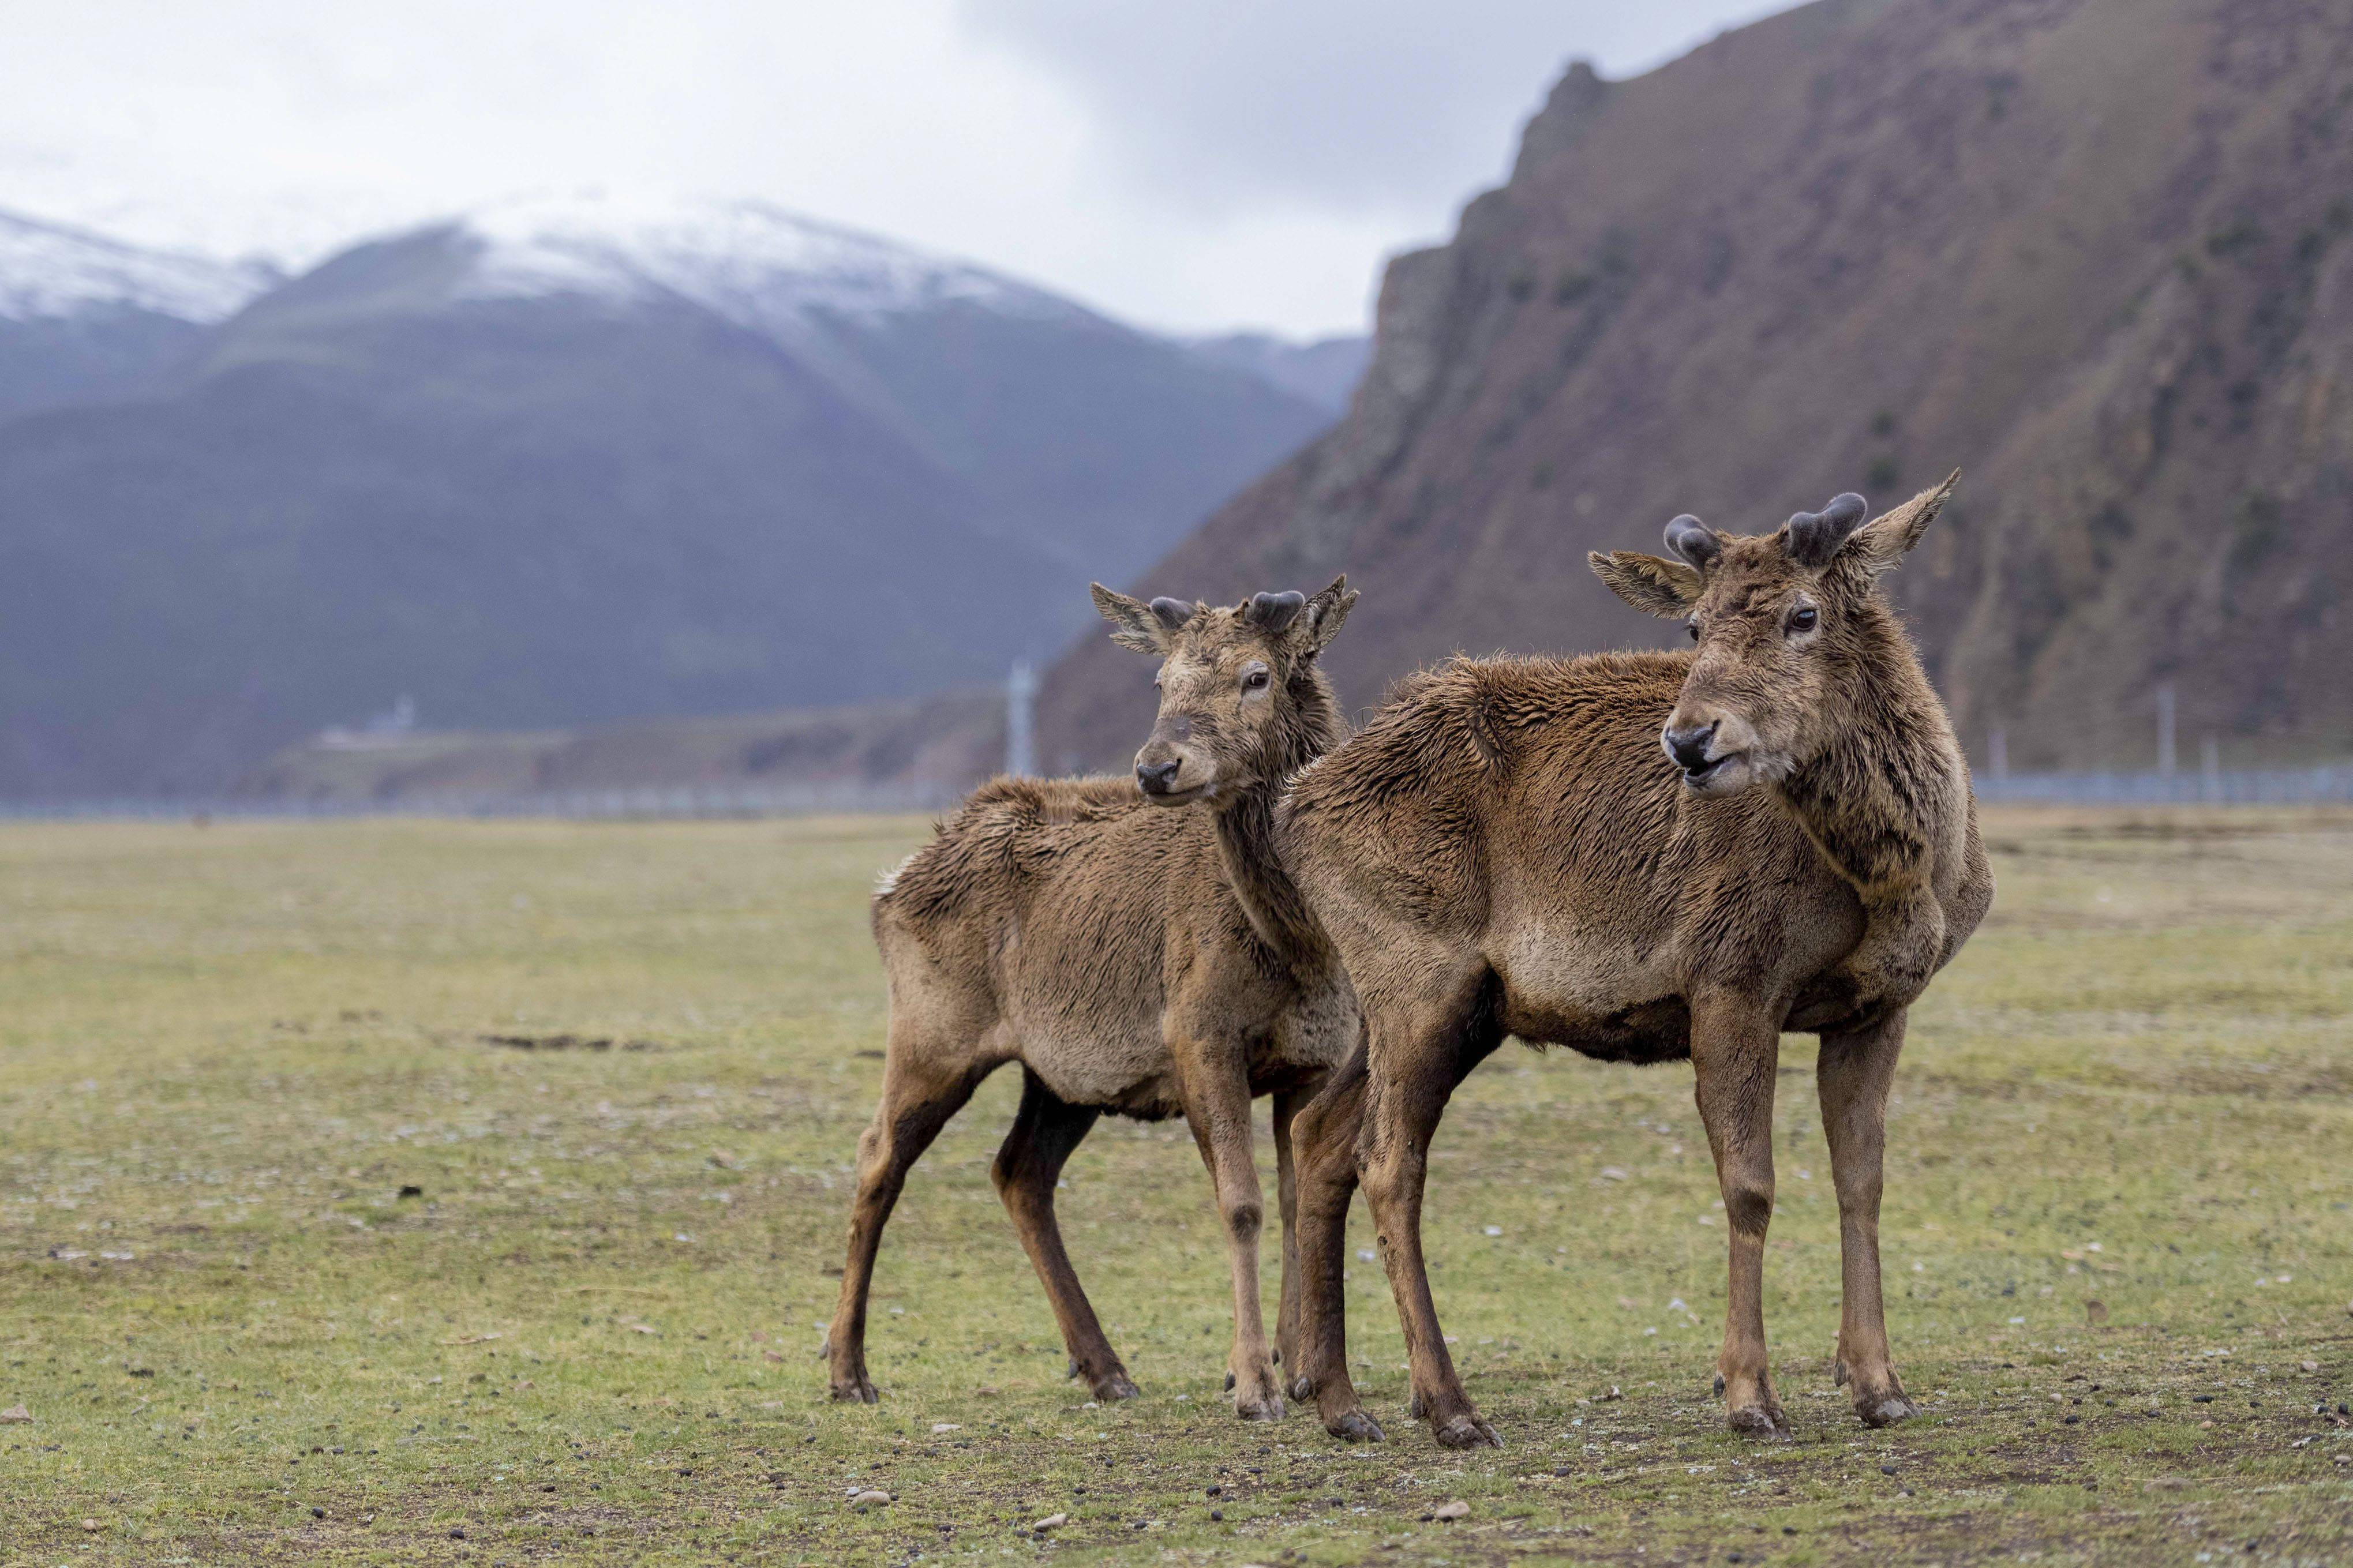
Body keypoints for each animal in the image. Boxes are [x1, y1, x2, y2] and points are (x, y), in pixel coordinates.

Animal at [828, 576, 1374, 1420]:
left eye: (1256, 675)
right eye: (1160, 682)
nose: (1156, 767)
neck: (1301, 943)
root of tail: (891, 885)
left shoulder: (1313, 1057)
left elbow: (1291, 1198)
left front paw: (1299, 1369)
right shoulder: (1199, 1036)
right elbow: (1241, 1203)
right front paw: (1253, 1382)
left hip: (1059, 1077)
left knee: (1019, 1172)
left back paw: (1105, 1366)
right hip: (931, 1034)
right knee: (878, 1156)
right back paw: (847, 1369)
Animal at [1280, 475, 1995, 1448]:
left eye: (1803, 613)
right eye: (1692, 626)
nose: (1690, 739)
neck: (1898, 874)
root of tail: (1294, 805)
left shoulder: (1877, 1006)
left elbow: (1862, 1181)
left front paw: (1879, 1383)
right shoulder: (1730, 975)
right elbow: (1749, 1184)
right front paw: (1749, 1394)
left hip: (1437, 1007)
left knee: (1319, 1136)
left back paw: (1342, 1402)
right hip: (1416, 976)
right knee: (1386, 1161)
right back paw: (1452, 1407)